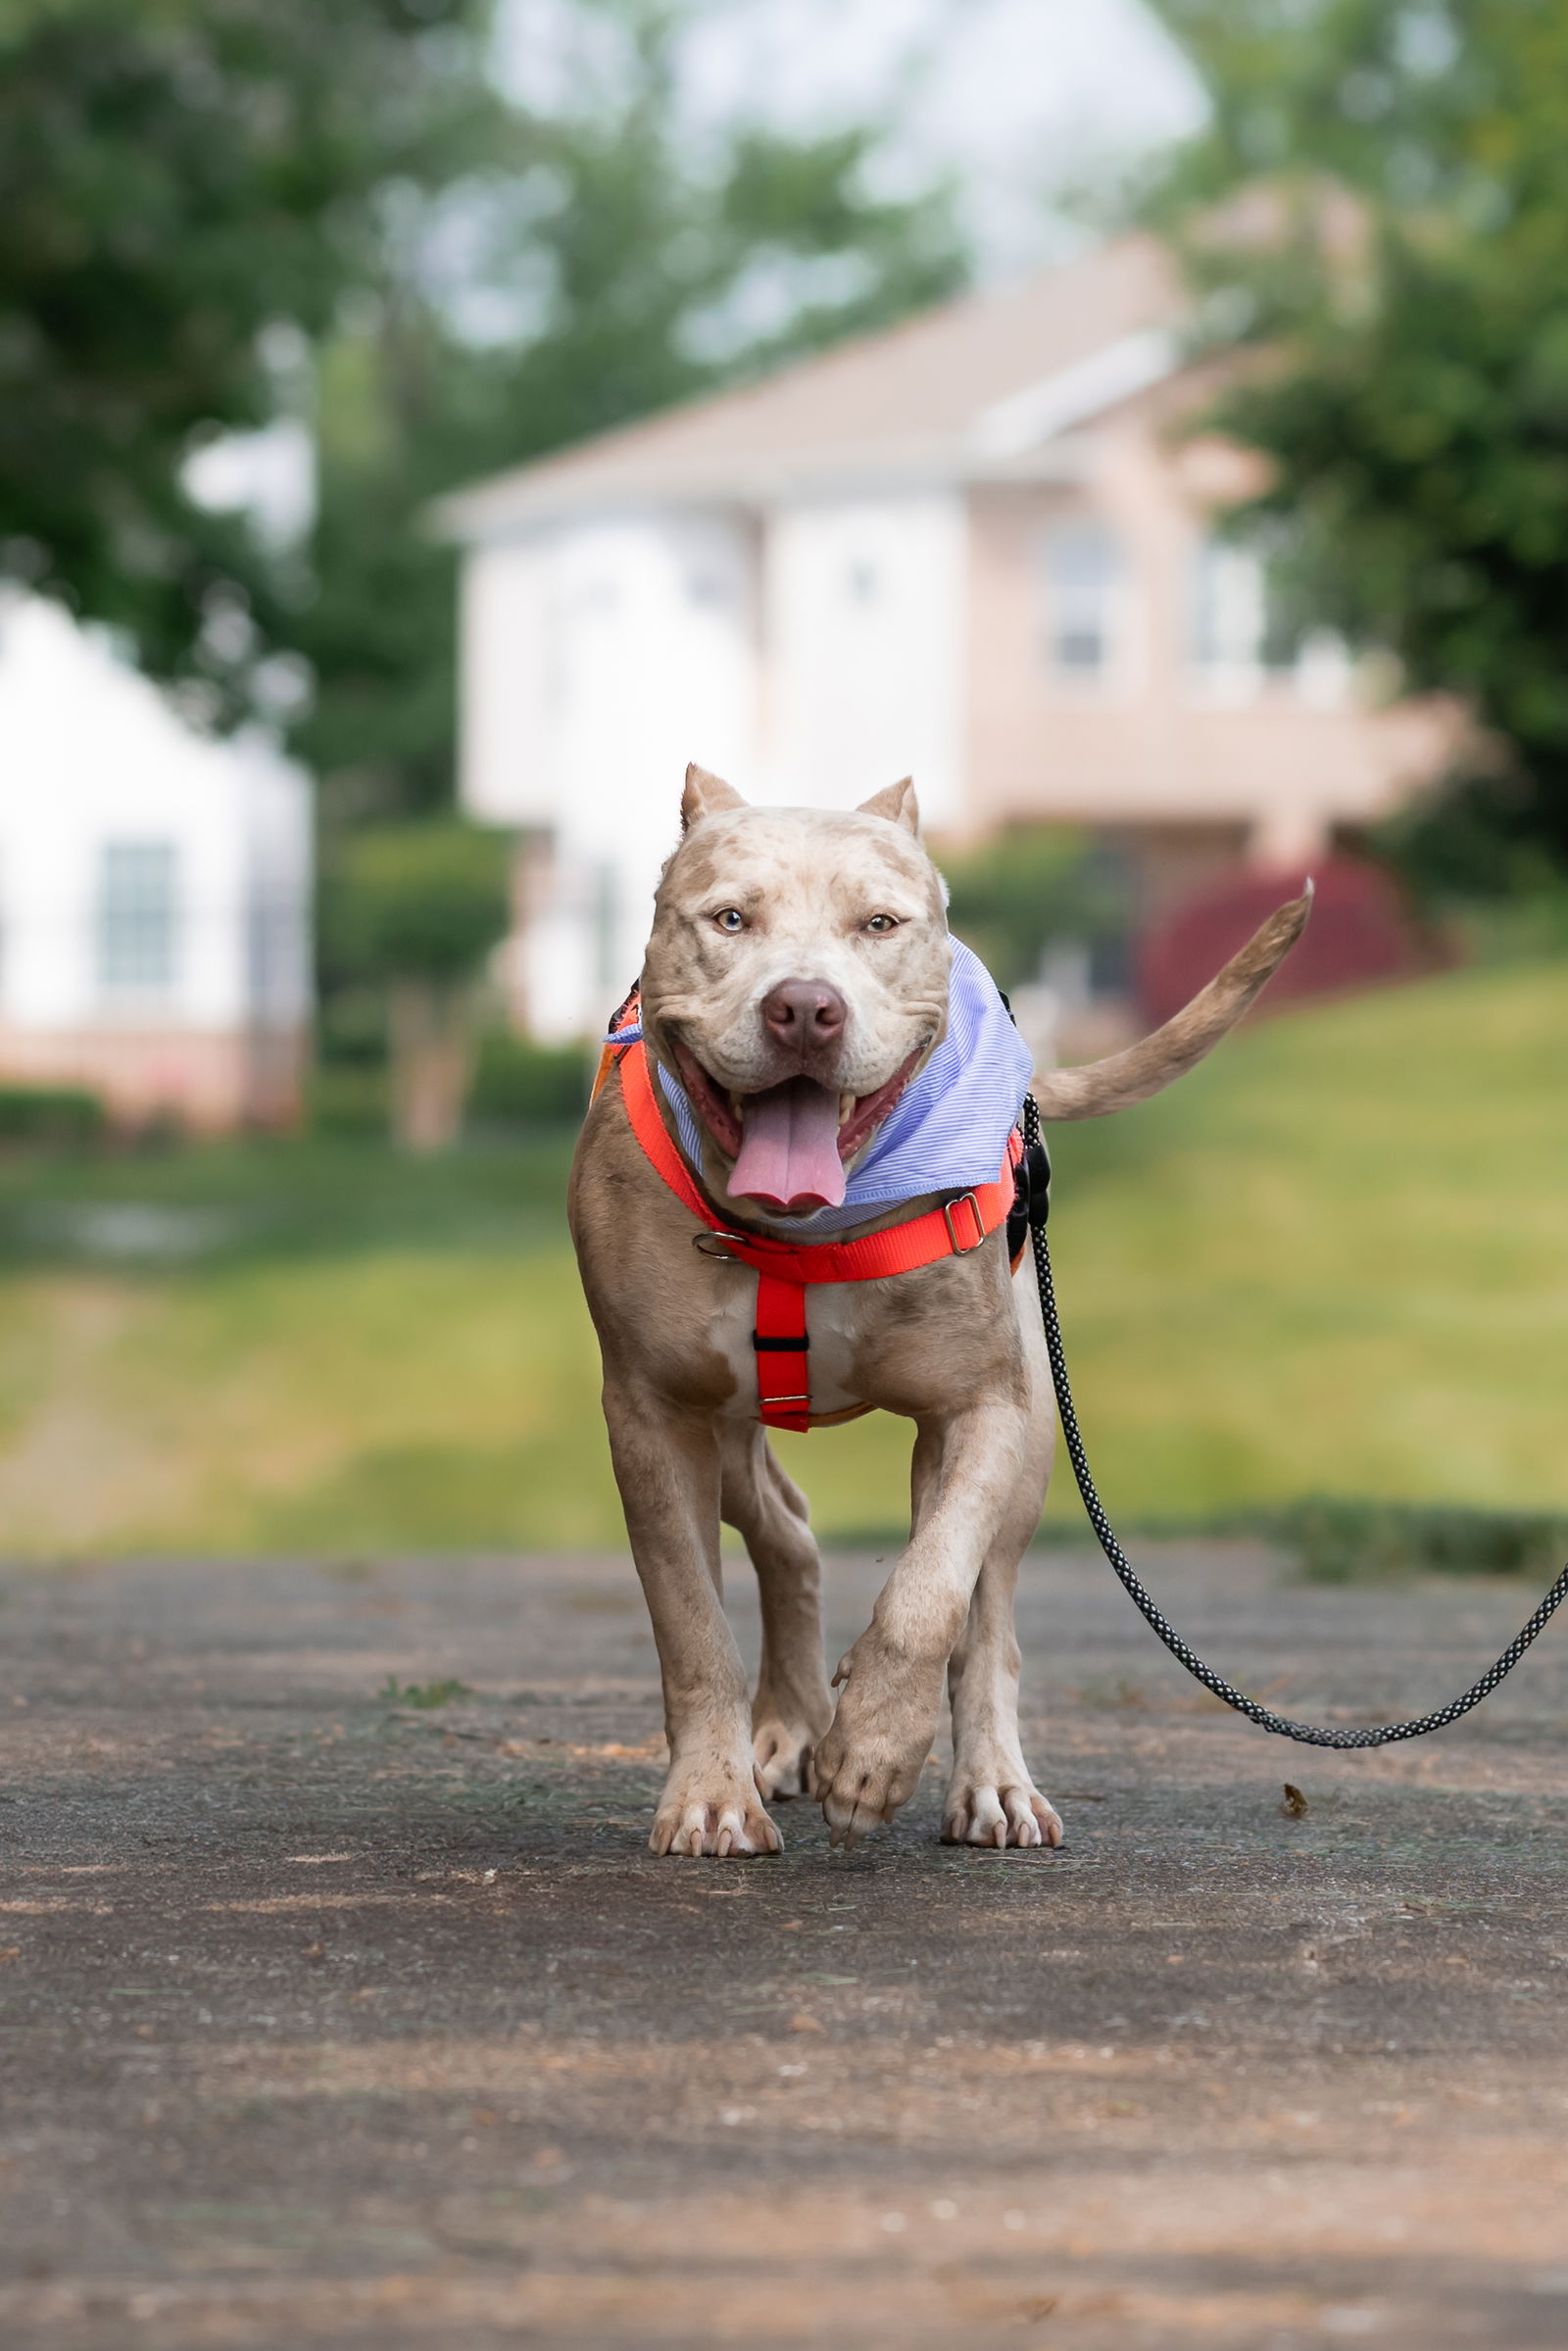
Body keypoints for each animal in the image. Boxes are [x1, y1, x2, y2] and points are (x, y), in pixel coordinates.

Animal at [566, 766, 1316, 1852]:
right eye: (731, 918)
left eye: (879, 923)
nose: (804, 1007)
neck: (806, 1228)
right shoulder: (650, 1416)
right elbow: (689, 1619)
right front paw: (711, 1795)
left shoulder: (980, 1409)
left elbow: (931, 1591)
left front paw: (876, 1746)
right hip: (728, 1427)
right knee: (785, 1527)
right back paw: (789, 1725)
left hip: (1035, 1438)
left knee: (986, 1614)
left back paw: (990, 1783)